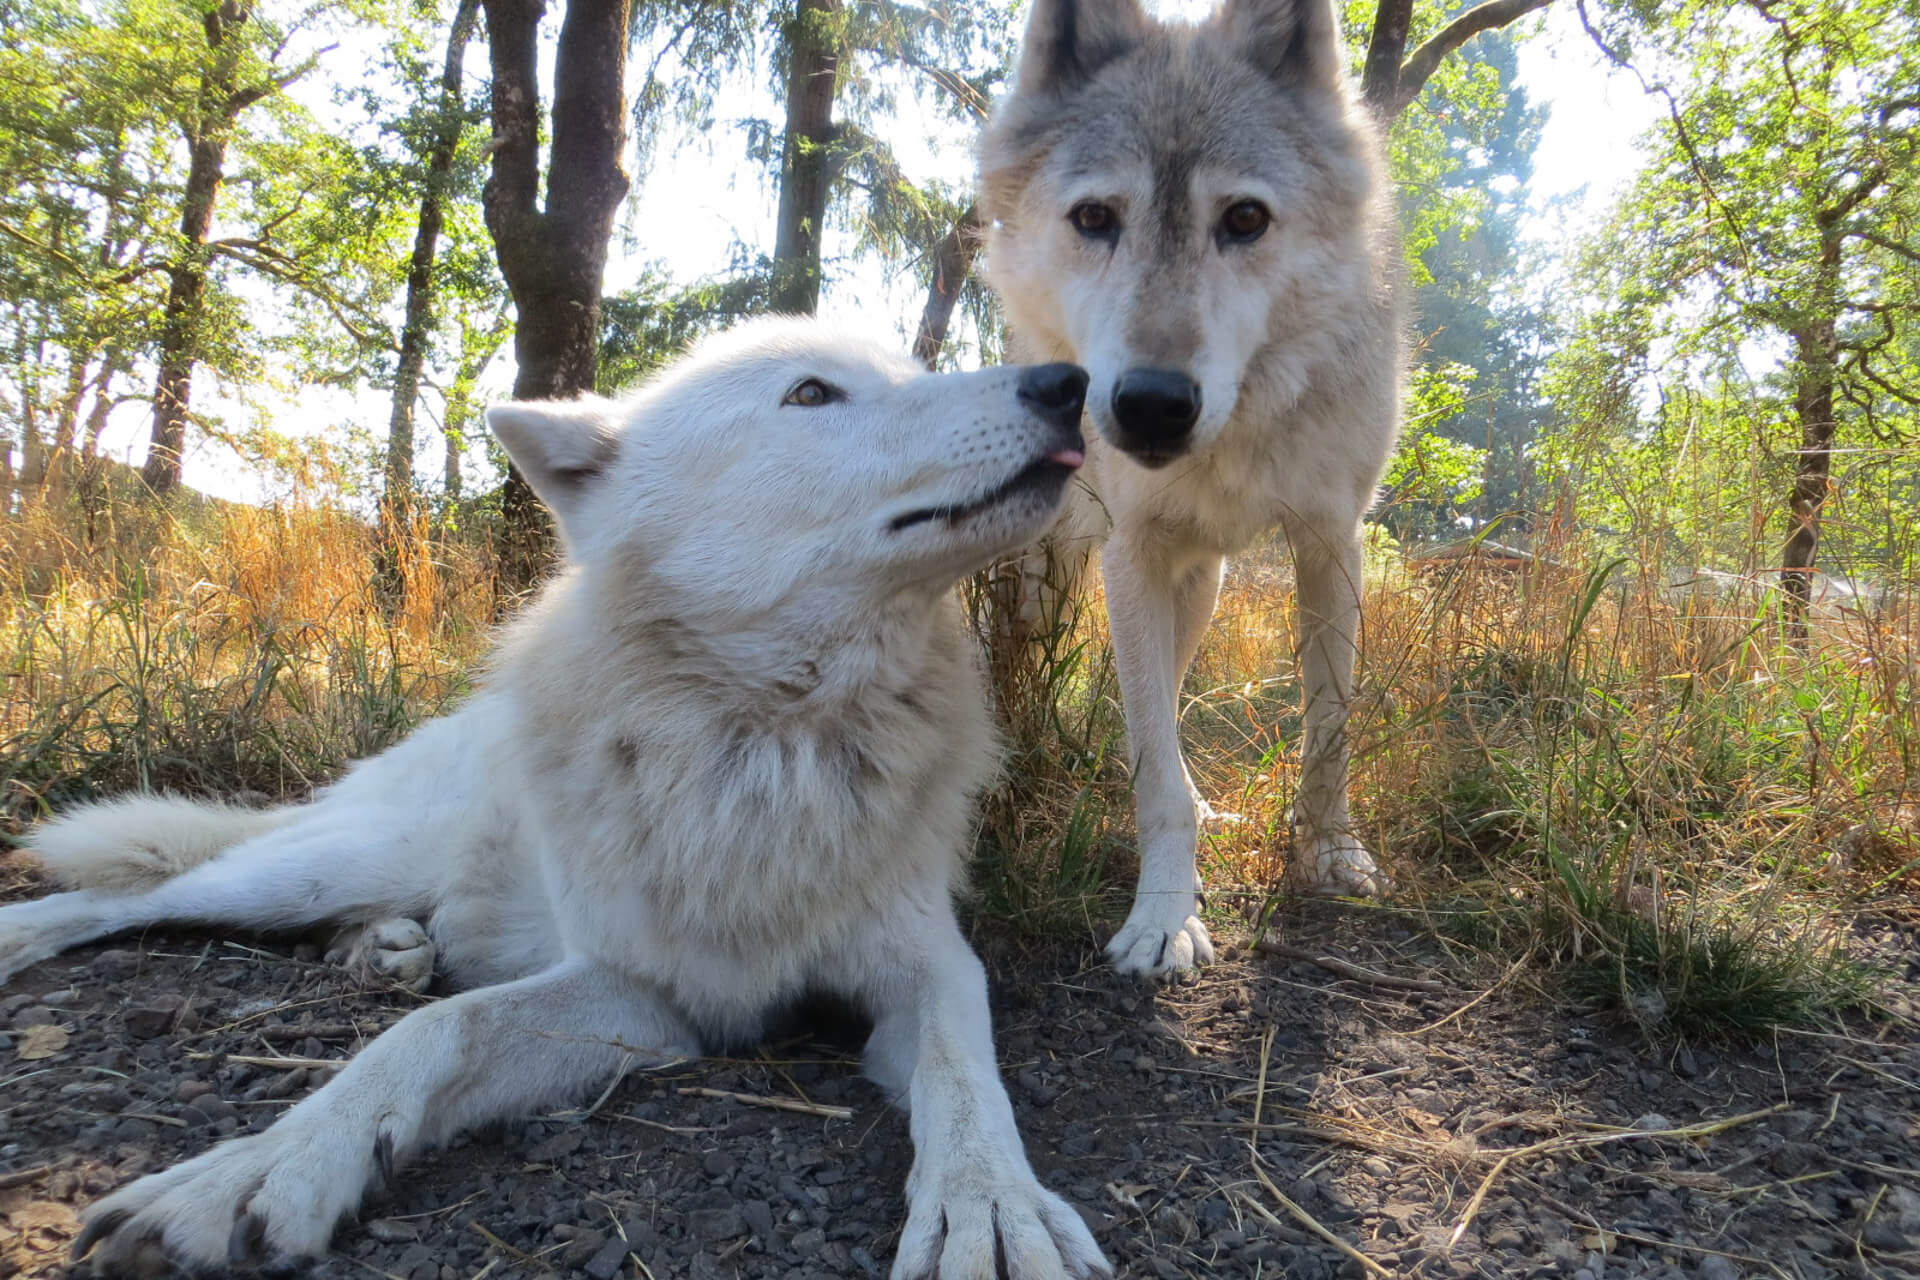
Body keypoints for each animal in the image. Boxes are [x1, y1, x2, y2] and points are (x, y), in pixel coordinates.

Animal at [0, 312, 1113, 1280]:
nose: (1070, 383)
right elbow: (437, 1032)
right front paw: (261, 1167)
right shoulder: (642, 987)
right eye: (811, 393)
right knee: (129, 897)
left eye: (910, 368)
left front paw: (993, 1209)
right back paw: (28, 939)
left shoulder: (921, 965)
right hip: (316, 864)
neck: (767, 738)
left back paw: (386, 949)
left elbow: (966, 1083)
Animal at [983, 0, 1405, 982]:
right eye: (1095, 217)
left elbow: (1328, 728)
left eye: (1245, 218)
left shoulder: (1331, 542)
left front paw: (1329, 856)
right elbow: (1153, 766)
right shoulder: (1130, 556)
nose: (1151, 404)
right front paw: (1165, 917)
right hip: (1059, 572)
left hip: (1202, 586)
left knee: (1169, 698)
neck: (1235, 437)